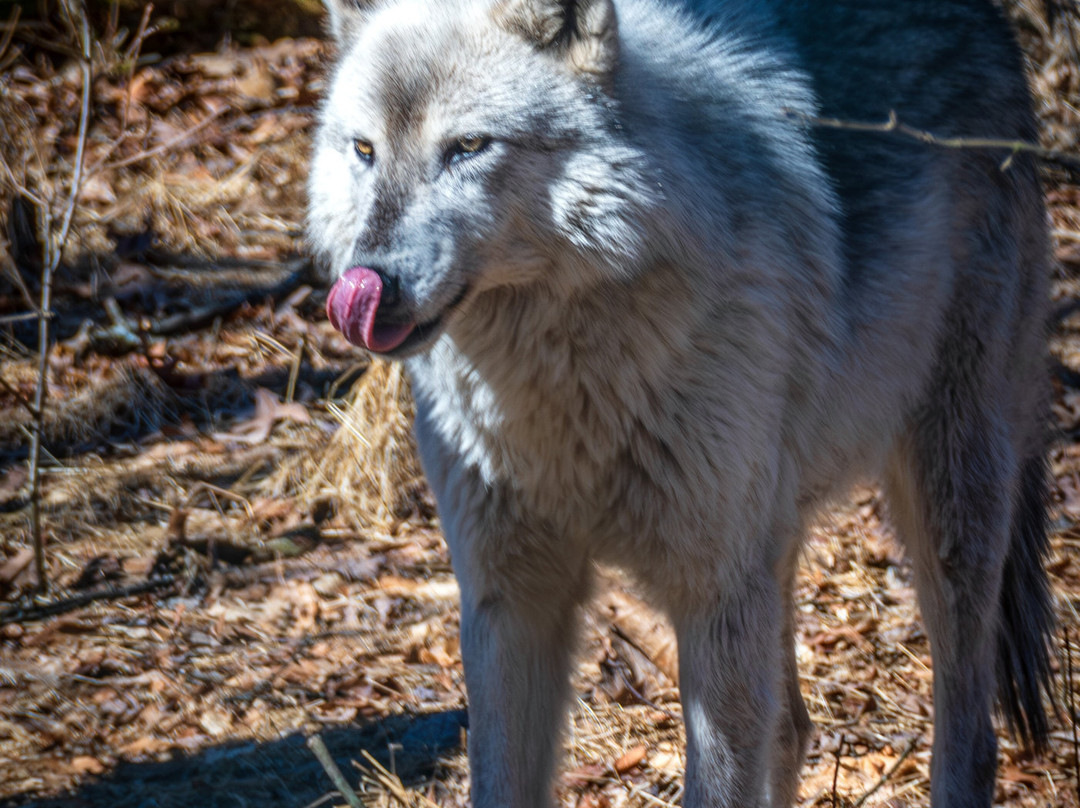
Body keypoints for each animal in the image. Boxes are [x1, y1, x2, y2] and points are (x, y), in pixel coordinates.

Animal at [307, 0, 1056, 805]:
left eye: (468, 147)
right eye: (364, 149)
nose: (366, 284)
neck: (563, 399)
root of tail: (993, 21)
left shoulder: (713, 595)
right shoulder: (510, 597)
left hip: (946, 510)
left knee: (972, 739)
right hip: (774, 546)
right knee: (793, 726)